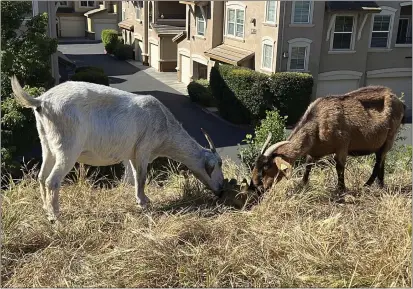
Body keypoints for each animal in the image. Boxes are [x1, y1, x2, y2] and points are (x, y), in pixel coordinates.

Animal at [9, 76, 224, 220]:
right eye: (217, 165)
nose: (221, 190)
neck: (165, 126)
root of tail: (41, 101)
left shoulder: (130, 153)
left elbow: (131, 178)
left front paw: (136, 197)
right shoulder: (144, 149)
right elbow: (142, 177)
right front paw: (144, 202)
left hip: (47, 143)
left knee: (41, 176)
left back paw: (46, 209)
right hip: (67, 146)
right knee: (52, 181)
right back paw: (56, 217)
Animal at [249, 85, 404, 194]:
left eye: (267, 167)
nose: (256, 186)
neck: (318, 122)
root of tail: (399, 101)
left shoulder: (343, 145)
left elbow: (339, 166)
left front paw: (341, 189)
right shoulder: (315, 151)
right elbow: (308, 165)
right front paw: (303, 185)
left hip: (390, 137)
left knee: (379, 161)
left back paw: (367, 185)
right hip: (381, 144)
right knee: (381, 161)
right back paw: (380, 185)